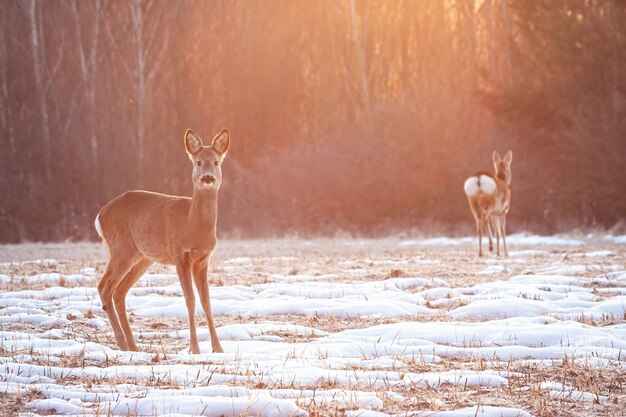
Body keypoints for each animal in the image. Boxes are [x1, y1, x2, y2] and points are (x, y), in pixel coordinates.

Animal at [94, 128, 228, 352]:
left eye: (216, 162)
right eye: (198, 162)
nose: (208, 177)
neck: (192, 224)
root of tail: (100, 215)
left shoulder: (203, 259)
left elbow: (207, 301)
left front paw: (218, 349)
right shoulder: (180, 255)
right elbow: (190, 299)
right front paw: (194, 348)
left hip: (143, 257)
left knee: (119, 291)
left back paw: (133, 346)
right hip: (121, 247)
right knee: (105, 286)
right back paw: (122, 343)